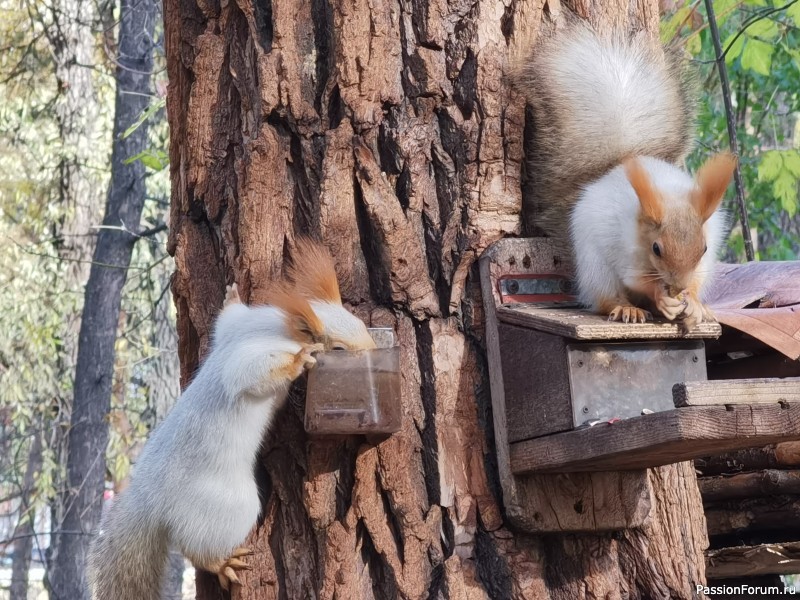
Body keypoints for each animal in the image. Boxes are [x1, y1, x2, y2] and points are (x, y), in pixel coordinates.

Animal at [86, 240, 376, 600]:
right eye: (337, 348)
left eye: (360, 324)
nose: (375, 350)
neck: (275, 328)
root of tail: (151, 501)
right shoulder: (247, 356)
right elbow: (249, 376)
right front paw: (299, 360)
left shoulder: (236, 328)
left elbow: (227, 318)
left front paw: (232, 296)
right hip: (228, 507)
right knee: (197, 546)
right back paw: (221, 563)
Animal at [512, 18, 736, 328]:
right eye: (656, 249)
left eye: (703, 249)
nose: (677, 287)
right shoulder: (624, 248)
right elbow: (638, 280)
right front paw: (663, 298)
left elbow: (696, 279)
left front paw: (690, 302)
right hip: (595, 267)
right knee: (607, 296)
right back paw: (627, 308)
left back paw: (701, 308)